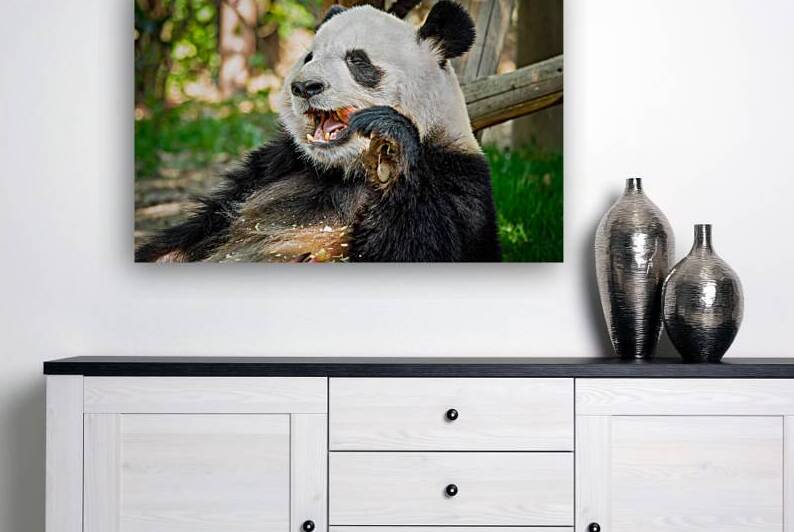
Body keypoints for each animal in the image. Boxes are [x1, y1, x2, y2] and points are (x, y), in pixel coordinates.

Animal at [135, 1, 501, 263]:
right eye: (308, 56)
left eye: (357, 60)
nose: (304, 87)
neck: (344, 169)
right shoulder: (273, 165)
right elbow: (192, 235)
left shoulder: (456, 182)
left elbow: (420, 247)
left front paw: (392, 145)